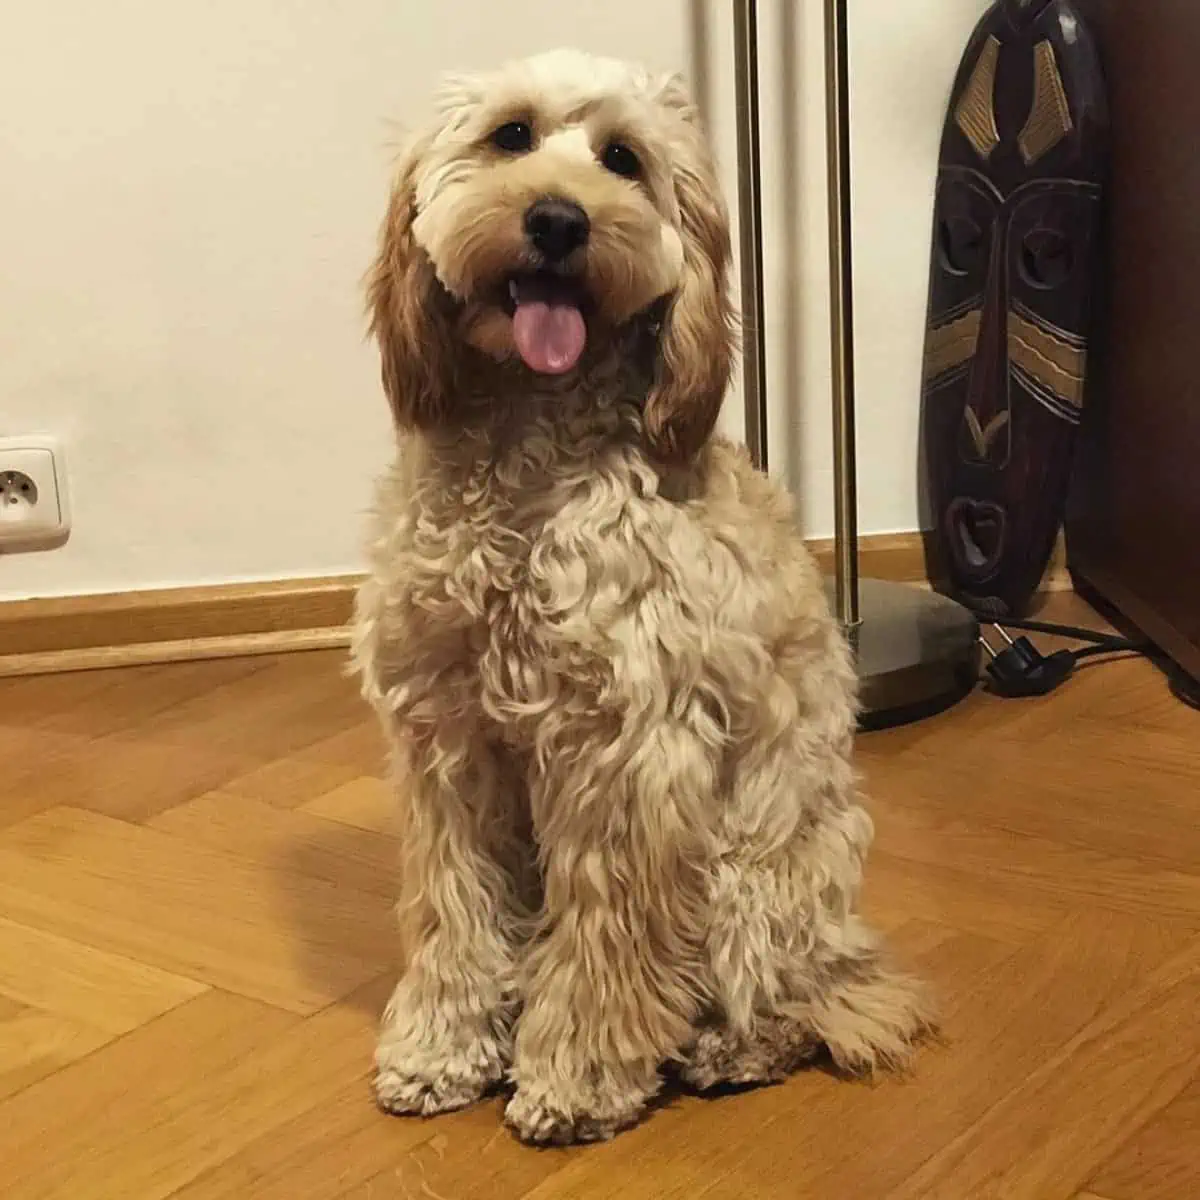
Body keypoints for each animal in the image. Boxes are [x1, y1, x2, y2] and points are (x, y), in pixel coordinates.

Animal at [348, 51, 926, 1147]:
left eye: (623, 158)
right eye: (512, 136)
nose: (559, 220)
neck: (528, 447)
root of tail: (854, 951)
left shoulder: (623, 748)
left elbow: (606, 944)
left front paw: (576, 1078)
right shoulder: (448, 740)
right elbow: (454, 909)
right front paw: (442, 1047)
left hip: (752, 871)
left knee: (790, 1000)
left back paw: (727, 1049)